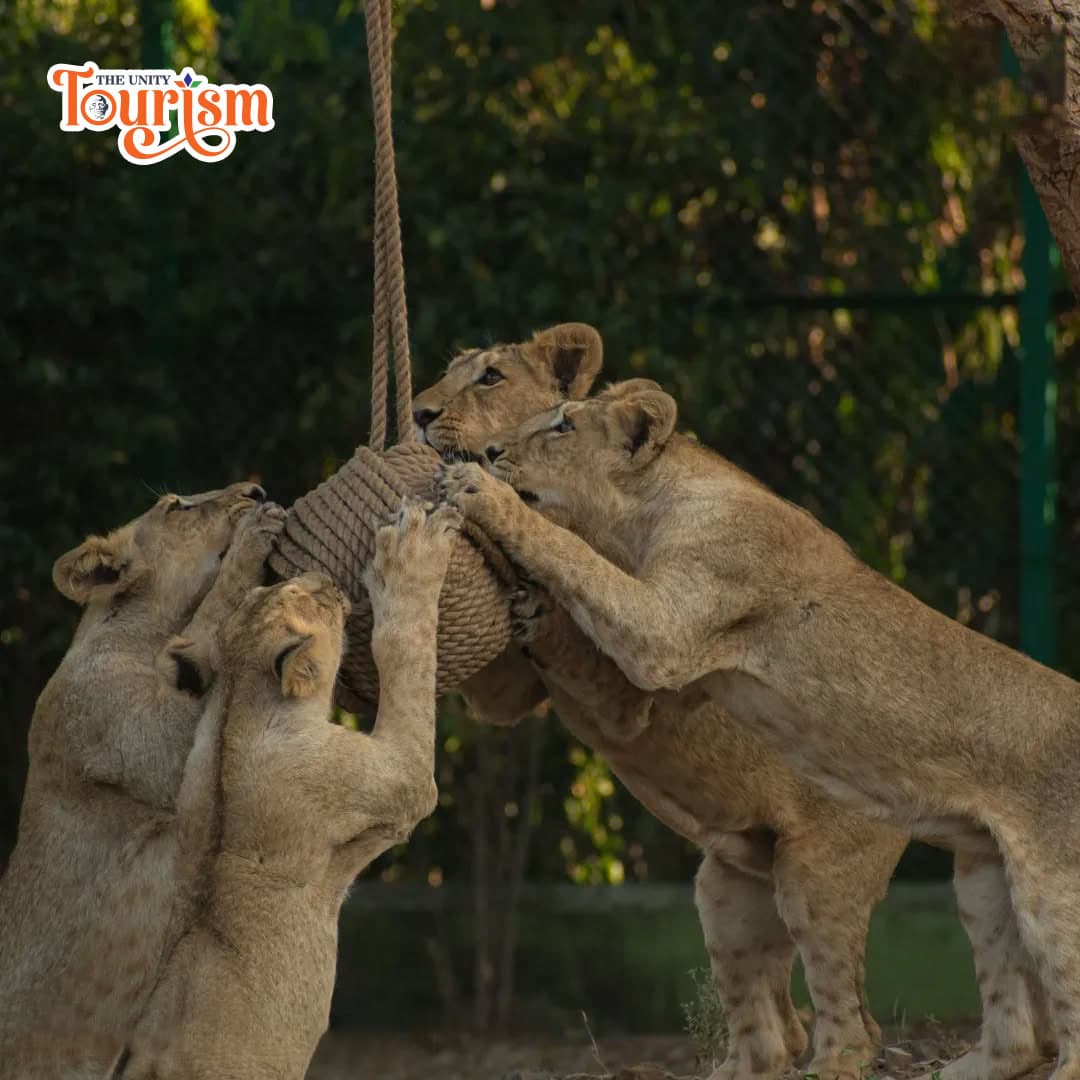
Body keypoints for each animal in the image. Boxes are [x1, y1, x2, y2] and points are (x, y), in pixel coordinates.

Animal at [0, 484, 276, 1063]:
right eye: (178, 507)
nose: (257, 489)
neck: (141, 638)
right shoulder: (147, 735)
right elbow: (210, 617)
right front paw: (252, 538)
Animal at [112, 505, 452, 1080]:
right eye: (308, 598)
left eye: (268, 589)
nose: (325, 578)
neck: (240, 706)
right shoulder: (400, 782)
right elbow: (404, 651)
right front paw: (410, 558)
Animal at [415, 331, 907, 1079]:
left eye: (490, 378)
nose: (418, 414)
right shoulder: (512, 693)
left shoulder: (643, 683)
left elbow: (574, 581)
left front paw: (493, 510)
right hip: (727, 891)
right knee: (775, 1031)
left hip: (817, 877)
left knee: (854, 1023)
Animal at [440, 378, 1071, 1080]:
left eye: (562, 426)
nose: (490, 450)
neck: (645, 512)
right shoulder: (665, 690)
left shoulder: (667, 629)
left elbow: (574, 557)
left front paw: (481, 493)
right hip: (977, 877)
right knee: (1012, 1030)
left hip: (970, 884)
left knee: (870, 1025)